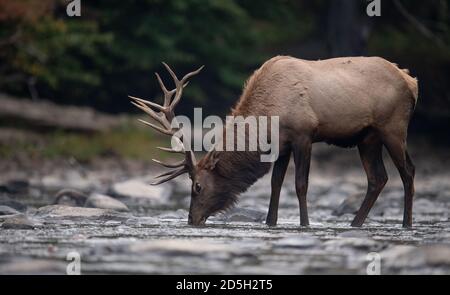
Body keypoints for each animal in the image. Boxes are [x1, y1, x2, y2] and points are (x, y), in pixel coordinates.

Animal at [130, 56, 418, 230]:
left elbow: (300, 184)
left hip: (393, 128)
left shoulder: (303, 135)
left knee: (408, 171)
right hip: (368, 138)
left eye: (197, 186)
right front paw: (270, 222)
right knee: (378, 178)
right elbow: (276, 183)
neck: (269, 116)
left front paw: (305, 224)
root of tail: (411, 81)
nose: (192, 219)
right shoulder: (282, 144)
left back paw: (406, 224)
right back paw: (355, 224)